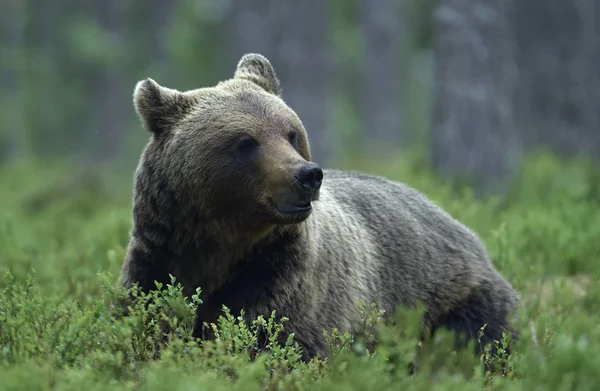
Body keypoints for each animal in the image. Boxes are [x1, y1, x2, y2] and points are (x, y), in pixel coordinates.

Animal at [119, 52, 516, 364]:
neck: (221, 243)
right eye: (246, 142)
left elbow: (282, 340)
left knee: (480, 341)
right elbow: (146, 325)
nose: (308, 175)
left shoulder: (284, 280)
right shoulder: (158, 258)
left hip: (451, 301)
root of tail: (465, 231)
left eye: (291, 133)